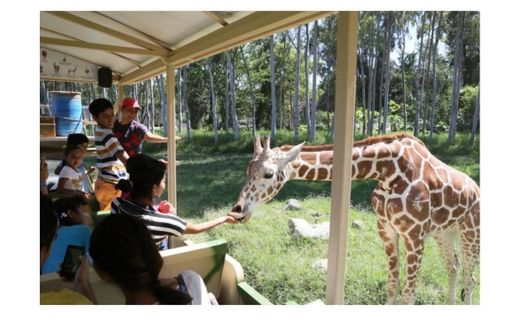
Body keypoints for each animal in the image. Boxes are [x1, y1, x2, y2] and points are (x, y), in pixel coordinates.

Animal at [230, 133, 482, 306]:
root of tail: (477, 189)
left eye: (268, 174)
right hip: (444, 232)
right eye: (247, 169)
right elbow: (392, 286)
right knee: (454, 266)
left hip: (471, 233)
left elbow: (408, 295)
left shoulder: (414, 236)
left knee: (469, 278)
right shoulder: (387, 231)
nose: (237, 210)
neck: (387, 172)